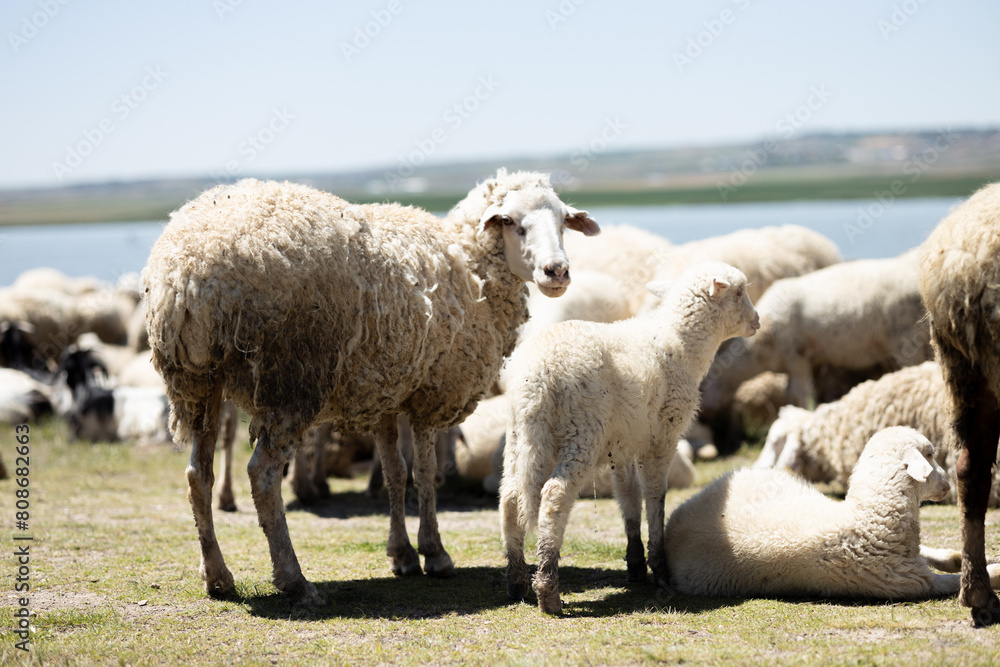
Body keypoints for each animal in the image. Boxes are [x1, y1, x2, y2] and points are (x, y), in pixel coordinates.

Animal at [143, 171, 599, 607]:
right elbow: (425, 473)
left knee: (197, 474)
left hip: (198, 382)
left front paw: (402, 554)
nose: (558, 272)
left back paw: (218, 576)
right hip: (291, 378)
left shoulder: (385, 394)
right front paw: (435, 553)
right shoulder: (429, 394)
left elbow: (396, 473)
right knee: (263, 474)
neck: (471, 264)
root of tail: (186, 271)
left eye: (563, 221)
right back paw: (295, 582)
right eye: (512, 223)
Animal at [500, 261, 759, 614]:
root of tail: (537, 375)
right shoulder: (664, 436)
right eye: (739, 292)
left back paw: (516, 581)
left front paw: (635, 564)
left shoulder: (621, 446)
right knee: (554, 495)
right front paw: (660, 568)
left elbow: (629, 497)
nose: (757, 320)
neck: (681, 342)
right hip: (582, 430)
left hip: (521, 434)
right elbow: (655, 496)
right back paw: (548, 590)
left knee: (511, 498)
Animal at [665, 426, 1000, 599]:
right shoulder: (915, 582)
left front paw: (963, 560)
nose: (947, 484)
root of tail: (677, 518)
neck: (863, 518)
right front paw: (991, 573)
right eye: (930, 455)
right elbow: (959, 582)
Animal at [701, 250, 933, 420]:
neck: (757, 353)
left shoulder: (797, 357)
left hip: (905, 338)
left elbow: (799, 394)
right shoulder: (802, 362)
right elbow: (791, 394)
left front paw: (801, 414)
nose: (706, 415)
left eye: (704, 382)